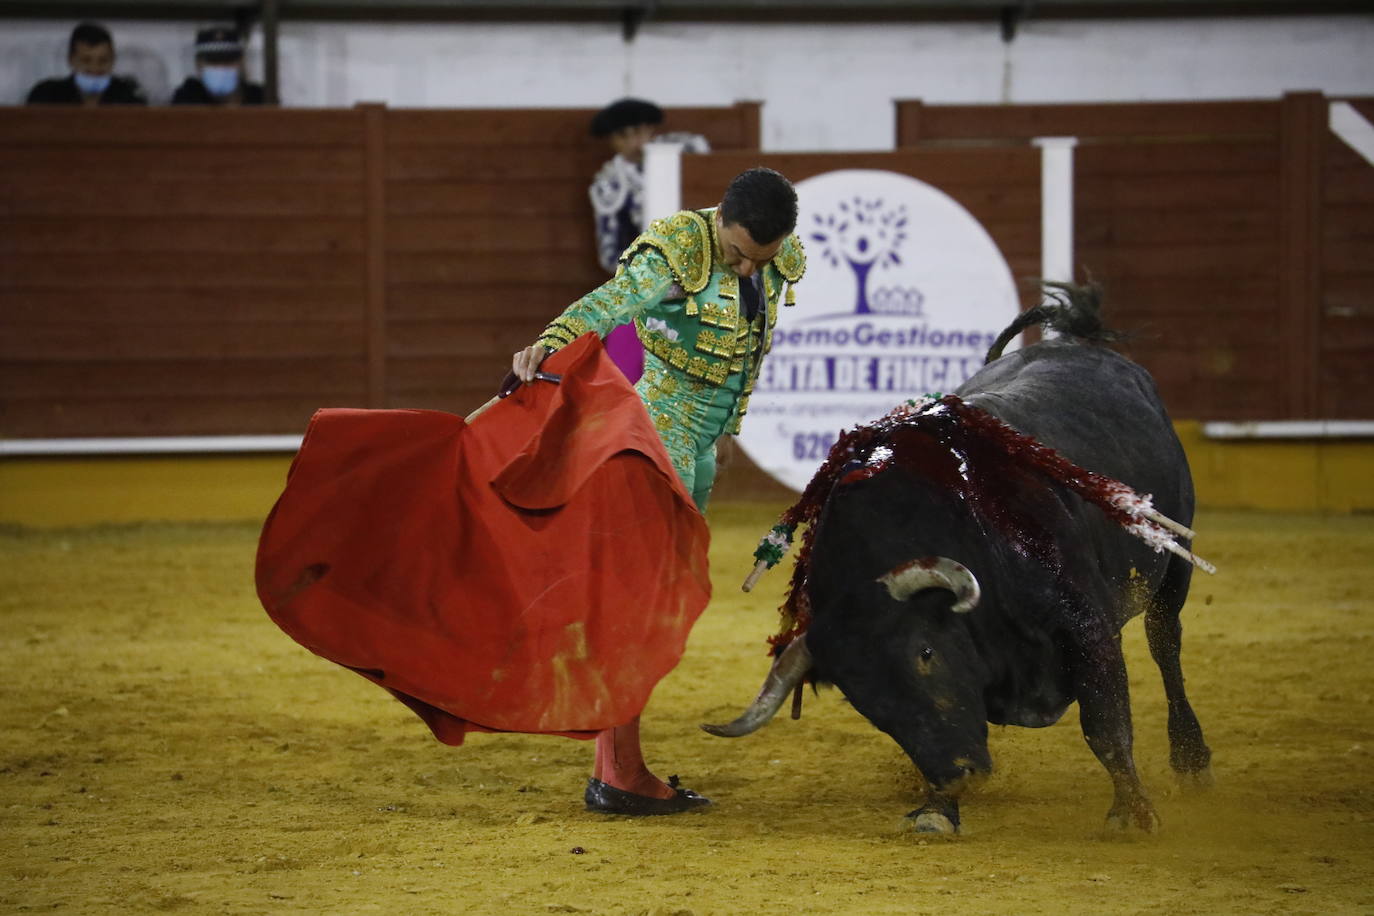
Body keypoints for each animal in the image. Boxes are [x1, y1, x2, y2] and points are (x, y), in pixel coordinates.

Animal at [708, 299, 1214, 829]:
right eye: (862, 698)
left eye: (926, 653)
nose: (959, 773)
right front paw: (937, 808)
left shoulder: (1087, 625)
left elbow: (1105, 724)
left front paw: (1132, 813)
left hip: (1175, 560)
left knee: (1165, 641)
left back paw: (1192, 759)